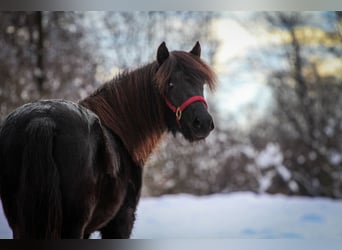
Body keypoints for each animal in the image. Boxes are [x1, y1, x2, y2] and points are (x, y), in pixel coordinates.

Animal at [0, 41, 216, 238]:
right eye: (170, 83)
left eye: (201, 83)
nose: (203, 123)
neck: (121, 131)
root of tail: (42, 119)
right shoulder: (121, 221)